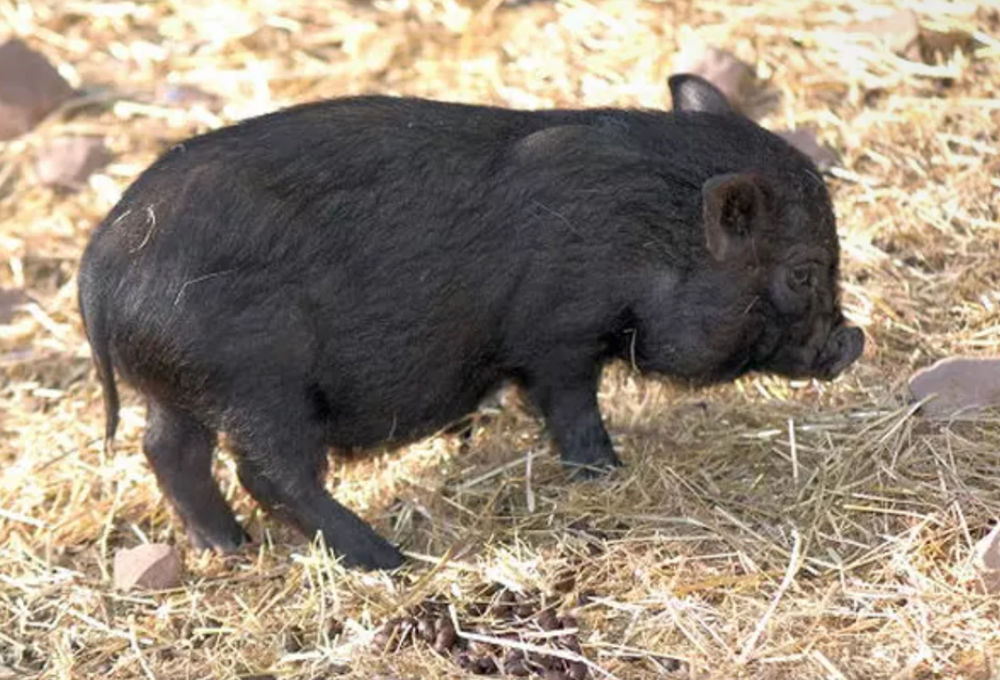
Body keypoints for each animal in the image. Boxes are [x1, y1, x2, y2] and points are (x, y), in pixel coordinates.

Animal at [78, 75, 864, 570]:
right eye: (801, 272)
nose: (852, 340)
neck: (648, 235)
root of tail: (102, 266)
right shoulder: (556, 337)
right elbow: (572, 408)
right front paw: (607, 472)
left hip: (179, 388)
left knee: (167, 451)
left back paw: (229, 549)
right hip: (259, 383)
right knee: (268, 472)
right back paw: (386, 559)